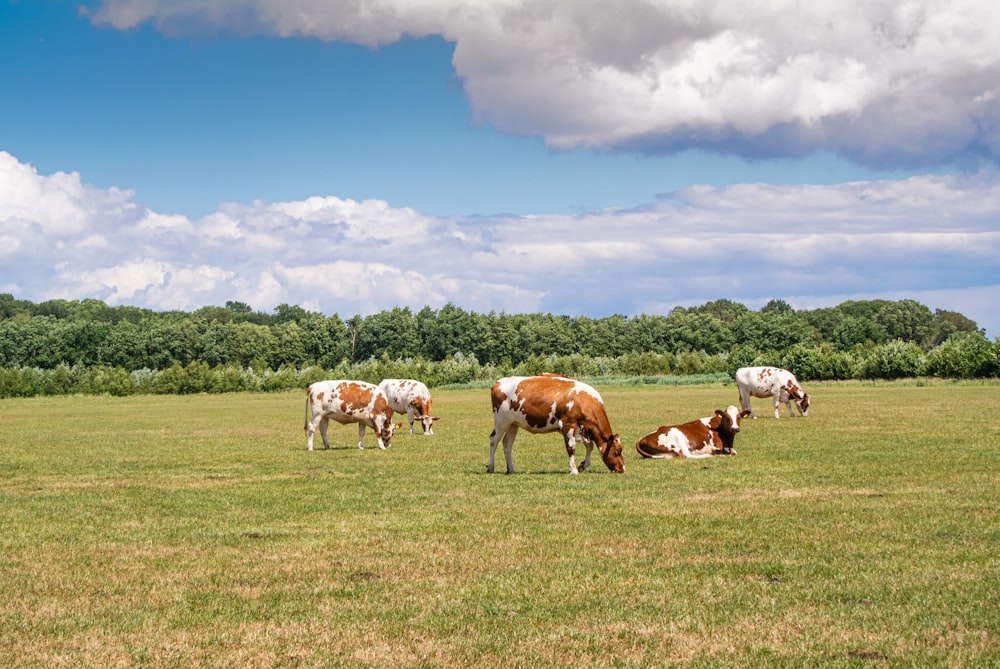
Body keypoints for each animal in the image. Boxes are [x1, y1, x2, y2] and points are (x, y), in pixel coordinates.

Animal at [486, 370, 620, 474]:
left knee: (507, 444)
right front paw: (573, 470)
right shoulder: (568, 424)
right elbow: (571, 448)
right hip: (501, 422)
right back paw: (491, 467)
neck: (584, 401)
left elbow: (589, 445)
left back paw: (511, 469)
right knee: (494, 440)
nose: (622, 469)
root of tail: (498, 382)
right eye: (618, 452)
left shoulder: (582, 429)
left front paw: (582, 465)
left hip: (513, 424)